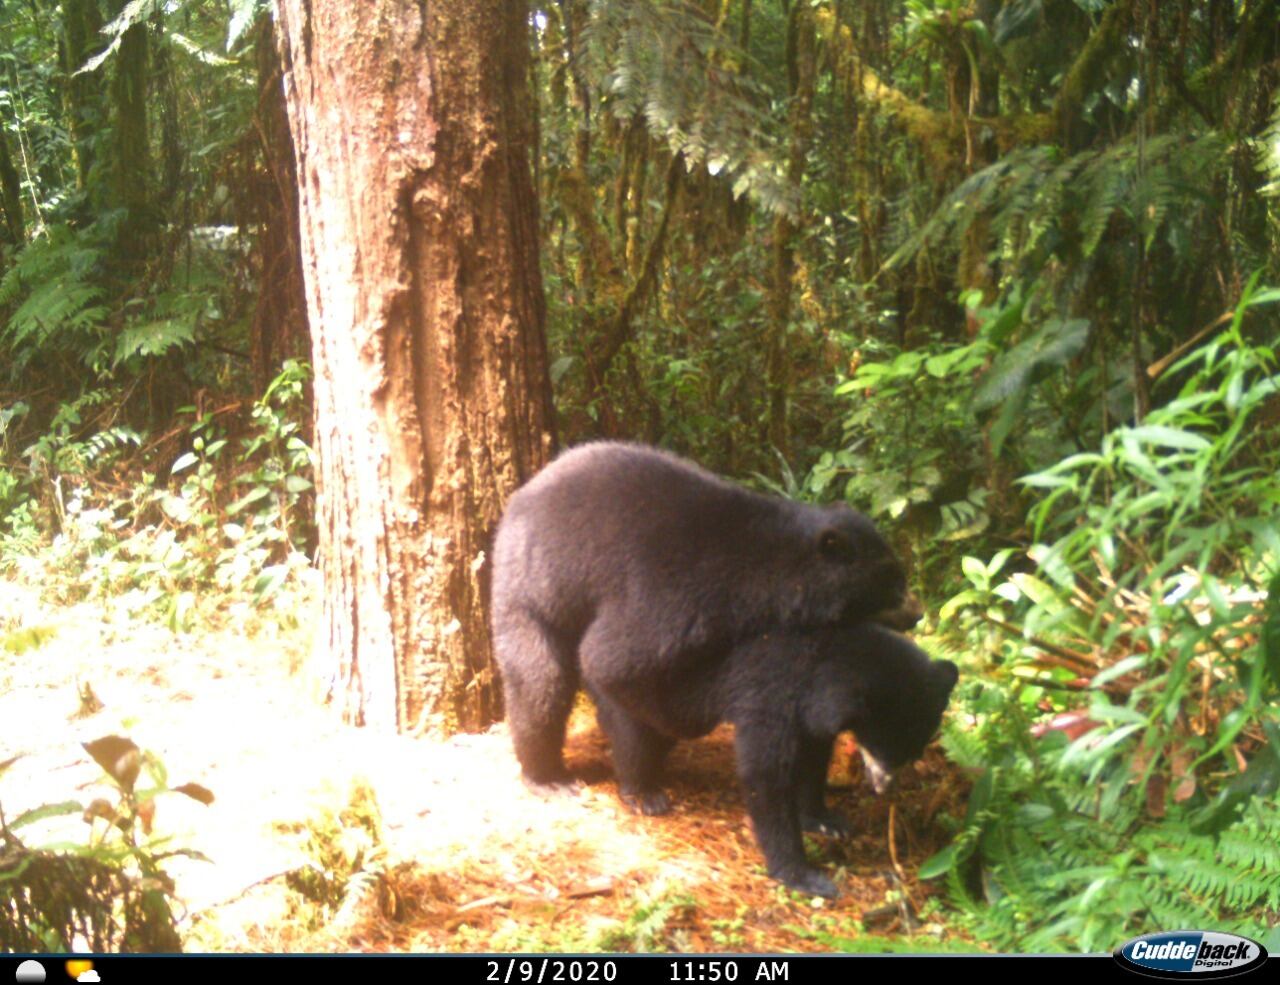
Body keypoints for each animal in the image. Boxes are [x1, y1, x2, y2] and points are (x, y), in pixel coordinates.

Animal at [491, 441, 910, 791]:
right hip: (528, 592)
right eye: (891, 579)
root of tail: (517, 501)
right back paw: (547, 775)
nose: (917, 613)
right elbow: (610, 660)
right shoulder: (675, 596)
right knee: (539, 683)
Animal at [588, 622, 959, 898]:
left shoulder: (810, 712)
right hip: (640, 688)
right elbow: (765, 776)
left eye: (914, 749)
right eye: (884, 748)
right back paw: (643, 793)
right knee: (635, 735)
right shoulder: (769, 693)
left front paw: (826, 820)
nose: (884, 786)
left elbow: (813, 757)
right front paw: (803, 874)